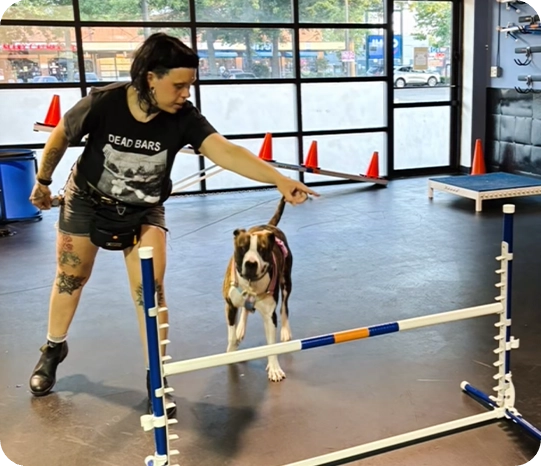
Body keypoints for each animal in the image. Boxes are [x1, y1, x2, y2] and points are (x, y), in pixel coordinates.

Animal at [222, 196, 293, 382]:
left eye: (262, 250)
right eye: (242, 248)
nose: (251, 263)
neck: (250, 284)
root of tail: (269, 226)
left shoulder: (269, 316)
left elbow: (271, 345)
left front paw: (274, 368)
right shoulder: (230, 306)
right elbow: (231, 335)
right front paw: (231, 350)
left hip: (286, 282)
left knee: (285, 307)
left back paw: (285, 330)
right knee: (245, 310)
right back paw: (241, 328)